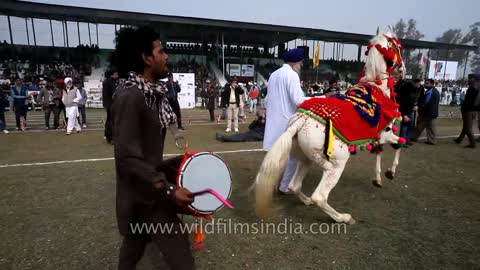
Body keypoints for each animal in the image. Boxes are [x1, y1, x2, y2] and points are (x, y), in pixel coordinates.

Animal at [255, 31, 404, 225]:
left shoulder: (378, 137)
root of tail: (300, 121)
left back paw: (306, 200)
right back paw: (343, 217)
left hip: (305, 158)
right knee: (320, 195)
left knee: (295, 185)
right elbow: (399, 144)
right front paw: (388, 173)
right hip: (337, 163)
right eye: (399, 46)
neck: (377, 87)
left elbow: (385, 149)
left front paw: (379, 178)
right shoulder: (384, 133)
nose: (403, 70)